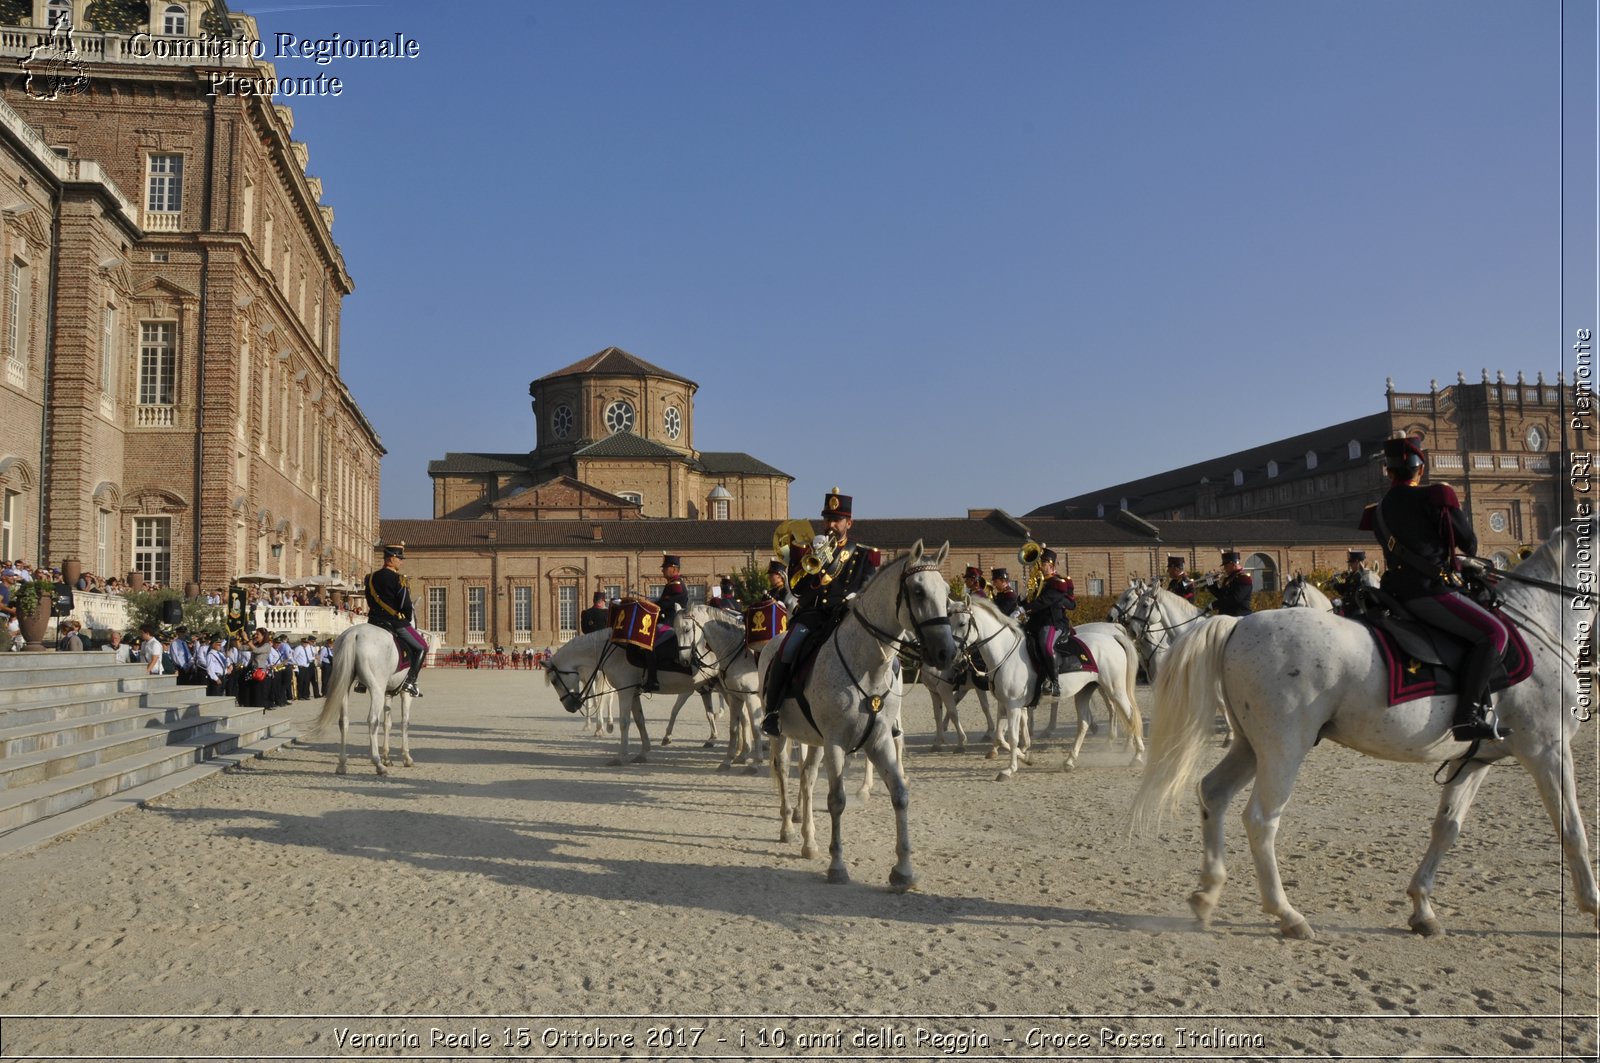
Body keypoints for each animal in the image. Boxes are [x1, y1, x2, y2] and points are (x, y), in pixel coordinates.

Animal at [299, 624, 416, 771]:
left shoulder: (388, 693)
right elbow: (404, 722)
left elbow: (387, 724)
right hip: (376, 689)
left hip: (345, 686)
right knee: (372, 721)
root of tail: (355, 633)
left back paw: (342, 764)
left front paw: (387, 758)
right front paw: (406, 758)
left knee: (343, 721)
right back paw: (377, 763)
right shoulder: (405, 693)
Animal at [748, 541, 947, 890]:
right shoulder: (837, 743)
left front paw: (903, 871)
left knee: (807, 779)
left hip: (814, 740)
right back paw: (788, 829)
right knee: (784, 771)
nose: (947, 651)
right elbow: (836, 800)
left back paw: (809, 841)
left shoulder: (878, 740)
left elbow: (900, 794)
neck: (867, 664)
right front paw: (838, 866)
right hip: (783, 734)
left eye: (948, 591)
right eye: (919, 591)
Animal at [953, 598, 1145, 781]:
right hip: (1085, 691)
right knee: (1084, 722)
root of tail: (1113, 637)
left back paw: (1137, 756)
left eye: (962, 623)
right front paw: (1025, 758)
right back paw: (1069, 761)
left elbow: (1013, 737)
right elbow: (1001, 736)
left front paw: (1009, 769)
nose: (954, 656)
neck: (1005, 652)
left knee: (1130, 714)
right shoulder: (1005, 703)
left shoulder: (1013, 705)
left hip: (1115, 689)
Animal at [1132, 528, 1593, 941]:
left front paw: (1422, 908)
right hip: (1283, 750)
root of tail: (1237, 627)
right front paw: (1593, 904)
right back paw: (1286, 914)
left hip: (1253, 747)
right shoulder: (1548, 750)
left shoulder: (1475, 759)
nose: (1129, 626)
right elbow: (1571, 827)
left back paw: (1207, 894)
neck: (1539, 622)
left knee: (1213, 793)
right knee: (1261, 820)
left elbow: (1447, 828)